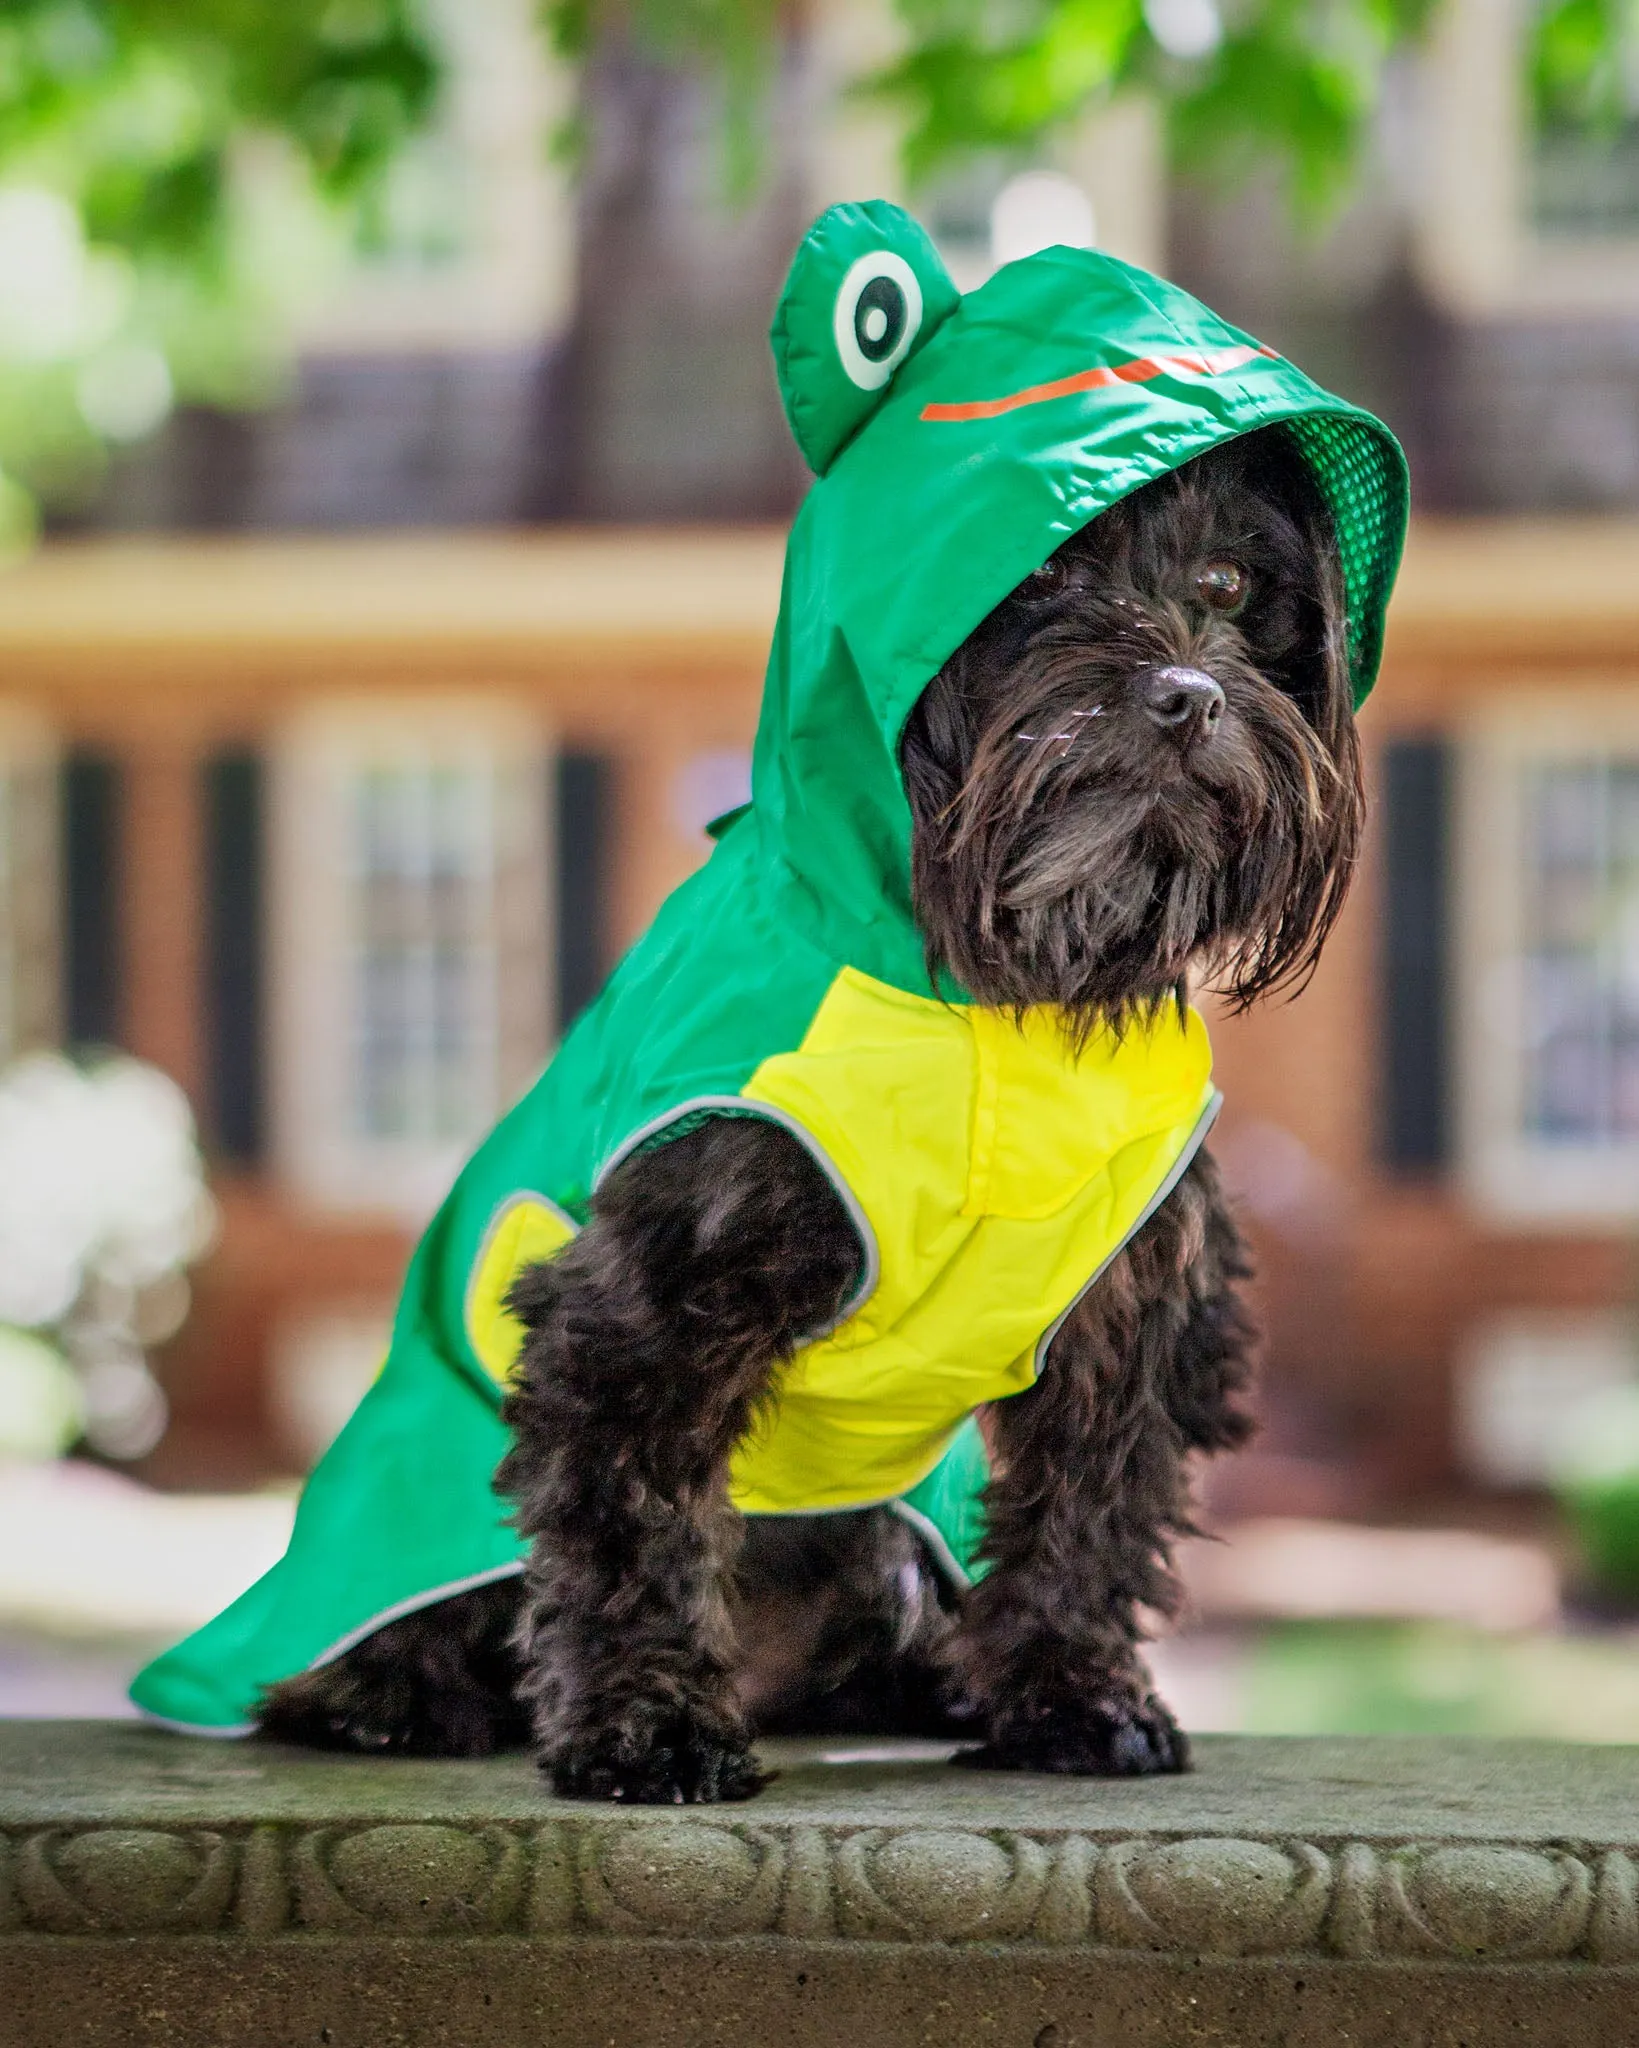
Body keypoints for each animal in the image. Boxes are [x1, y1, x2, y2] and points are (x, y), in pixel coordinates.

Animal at [262, 423, 1360, 1802]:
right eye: (1045, 574)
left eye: (1224, 582)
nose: (1189, 694)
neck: (1001, 995)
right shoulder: (645, 1298)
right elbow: (631, 1520)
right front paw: (647, 1726)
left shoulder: (1127, 1304)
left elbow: (1088, 1509)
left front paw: (1075, 1698)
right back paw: (383, 1693)